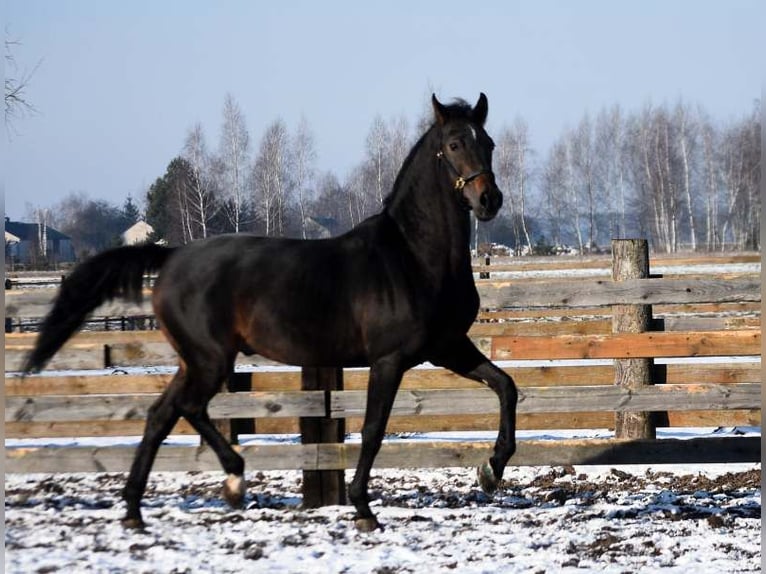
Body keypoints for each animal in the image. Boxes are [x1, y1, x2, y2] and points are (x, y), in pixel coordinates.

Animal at [24, 93, 520, 532]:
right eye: (453, 144)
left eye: (489, 143)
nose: (489, 200)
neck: (413, 257)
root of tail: (173, 256)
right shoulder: (390, 359)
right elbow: (374, 429)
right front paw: (363, 510)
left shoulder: (446, 346)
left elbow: (506, 387)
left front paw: (490, 469)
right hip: (209, 359)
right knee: (186, 407)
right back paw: (231, 479)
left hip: (195, 360)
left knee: (162, 414)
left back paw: (136, 509)